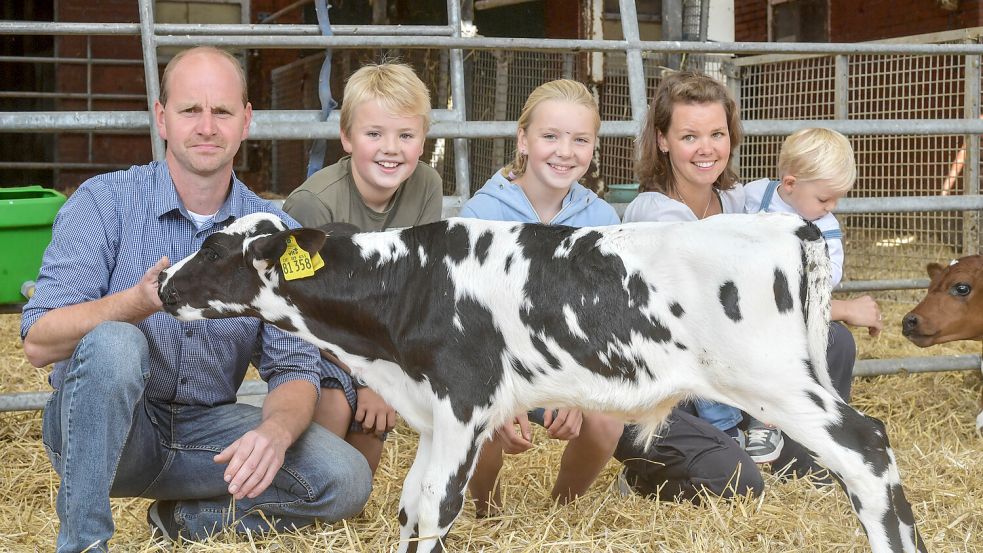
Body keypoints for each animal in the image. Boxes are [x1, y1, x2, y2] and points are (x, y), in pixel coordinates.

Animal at [158, 212, 928, 552]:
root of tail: (787, 224)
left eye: (217, 250)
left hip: (776, 383)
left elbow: (436, 507)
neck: (409, 284)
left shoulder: (465, 402)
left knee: (868, 450)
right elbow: (409, 505)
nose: (161, 282)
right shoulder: (434, 413)